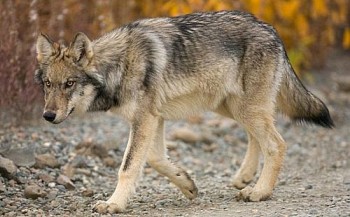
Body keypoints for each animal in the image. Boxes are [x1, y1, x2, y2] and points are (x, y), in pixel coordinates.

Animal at [34, 10, 334, 214]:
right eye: (48, 84)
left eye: (69, 84)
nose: (47, 116)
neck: (119, 64)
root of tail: (271, 29)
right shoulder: (154, 119)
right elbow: (156, 159)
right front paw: (188, 185)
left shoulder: (144, 119)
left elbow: (128, 167)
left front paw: (113, 204)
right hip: (233, 108)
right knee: (256, 137)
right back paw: (244, 179)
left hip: (245, 109)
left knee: (276, 144)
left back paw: (259, 192)